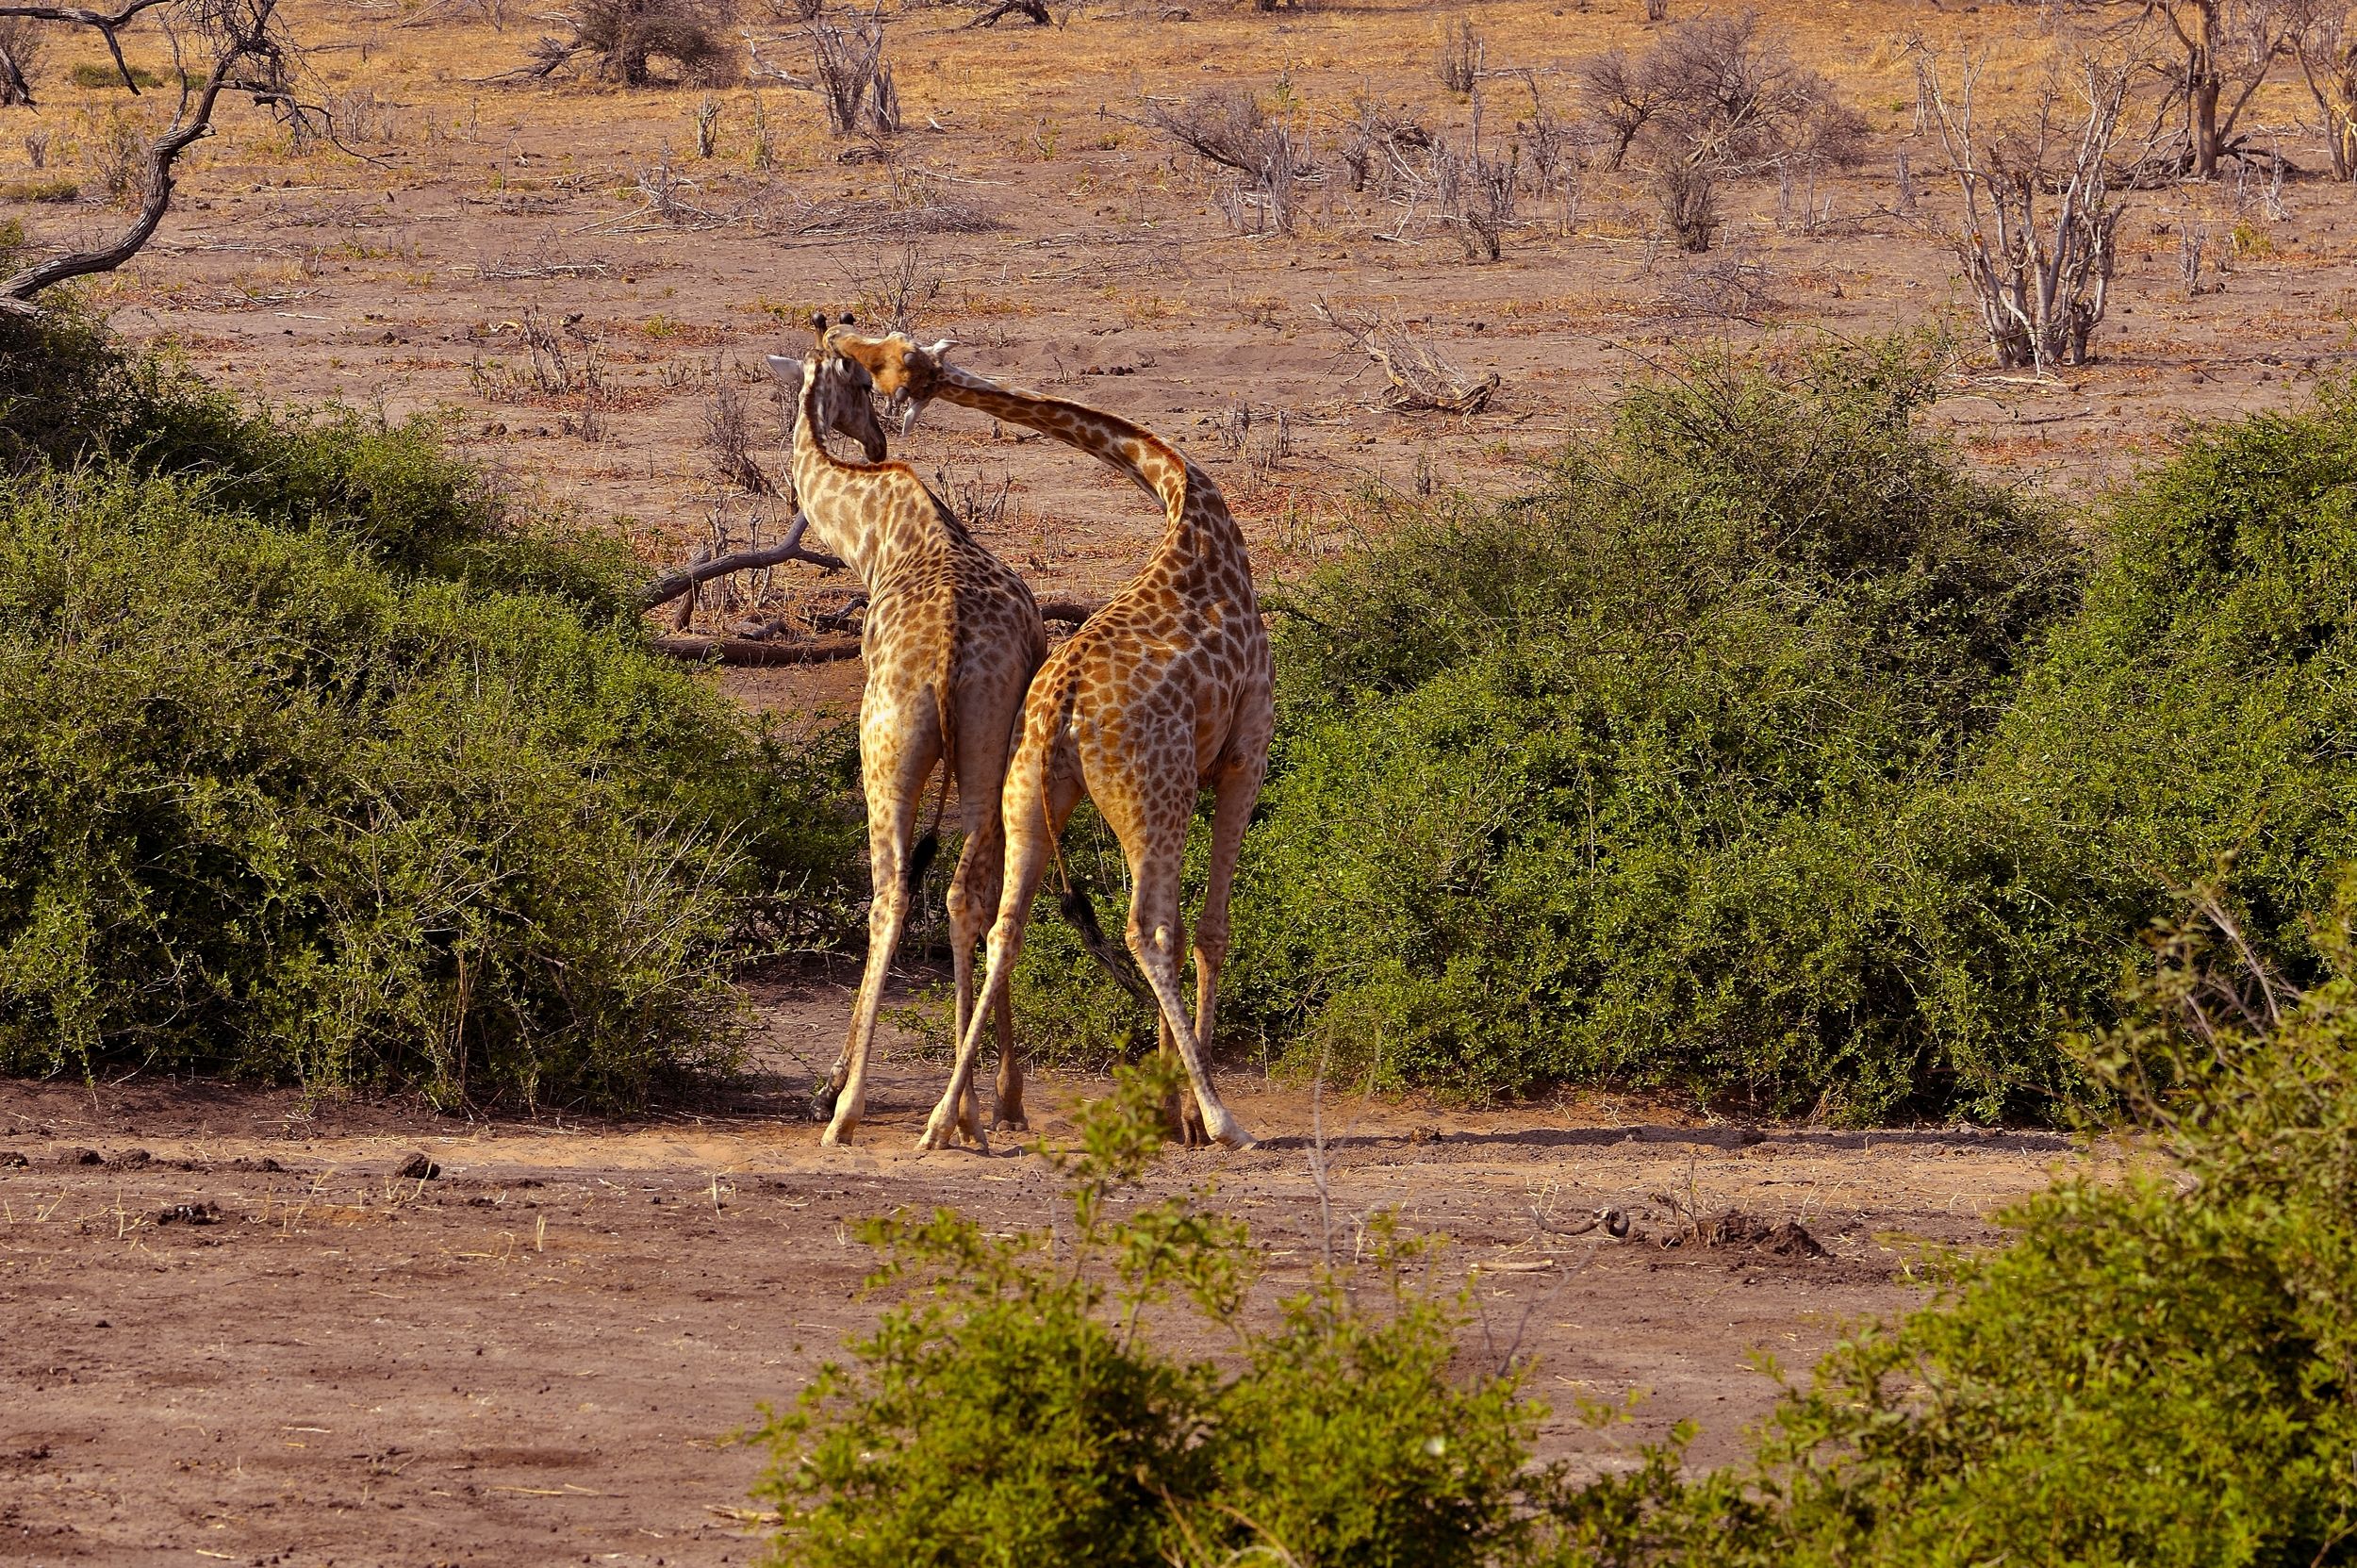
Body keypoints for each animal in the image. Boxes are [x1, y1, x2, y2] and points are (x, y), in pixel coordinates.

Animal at [770, 316, 1048, 1147]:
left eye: (866, 385)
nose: (871, 438)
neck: (871, 530)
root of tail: (952, 647)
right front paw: (994, 1097)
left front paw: (832, 1084)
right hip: (986, 741)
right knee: (967, 890)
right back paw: (972, 1108)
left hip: (883, 742)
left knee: (889, 891)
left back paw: (849, 1108)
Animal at [826, 327, 1269, 1153]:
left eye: (886, 356)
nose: (837, 334)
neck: (1184, 496)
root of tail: (1062, 703)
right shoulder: (1243, 751)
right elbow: (1210, 929)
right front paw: (1190, 1112)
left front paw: (1169, 1109)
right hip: (1148, 794)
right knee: (1146, 929)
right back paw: (1228, 1121)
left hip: (1037, 789)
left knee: (1006, 921)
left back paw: (947, 1118)